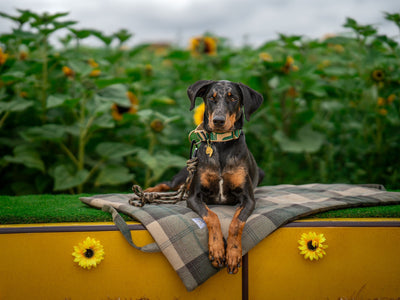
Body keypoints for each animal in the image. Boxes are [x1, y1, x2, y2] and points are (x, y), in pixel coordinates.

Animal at [145, 80, 264, 274]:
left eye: (233, 98)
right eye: (211, 98)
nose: (218, 121)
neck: (221, 144)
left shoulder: (248, 198)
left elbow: (236, 223)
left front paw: (232, 254)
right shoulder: (194, 196)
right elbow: (212, 216)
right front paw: (217, 250)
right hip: (185, 173)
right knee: (167, 184)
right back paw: (149, 191)